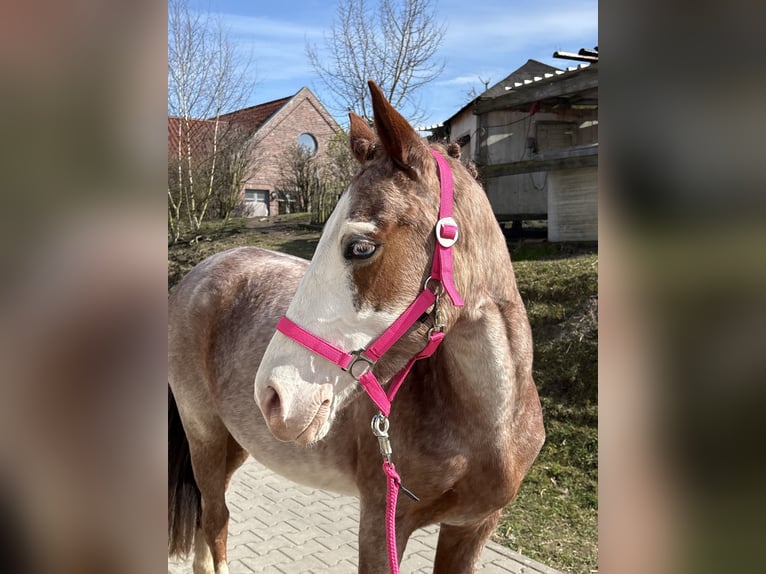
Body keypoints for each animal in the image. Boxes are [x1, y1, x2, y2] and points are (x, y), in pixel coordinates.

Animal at [168, 81, 545, 574]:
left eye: (360, 247)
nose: (273, 395)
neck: (490, 425)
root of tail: (198, 271)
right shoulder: (382, 525)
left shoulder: (472, 527)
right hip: (206, 437)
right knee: (215, 523)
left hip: (235, 443)